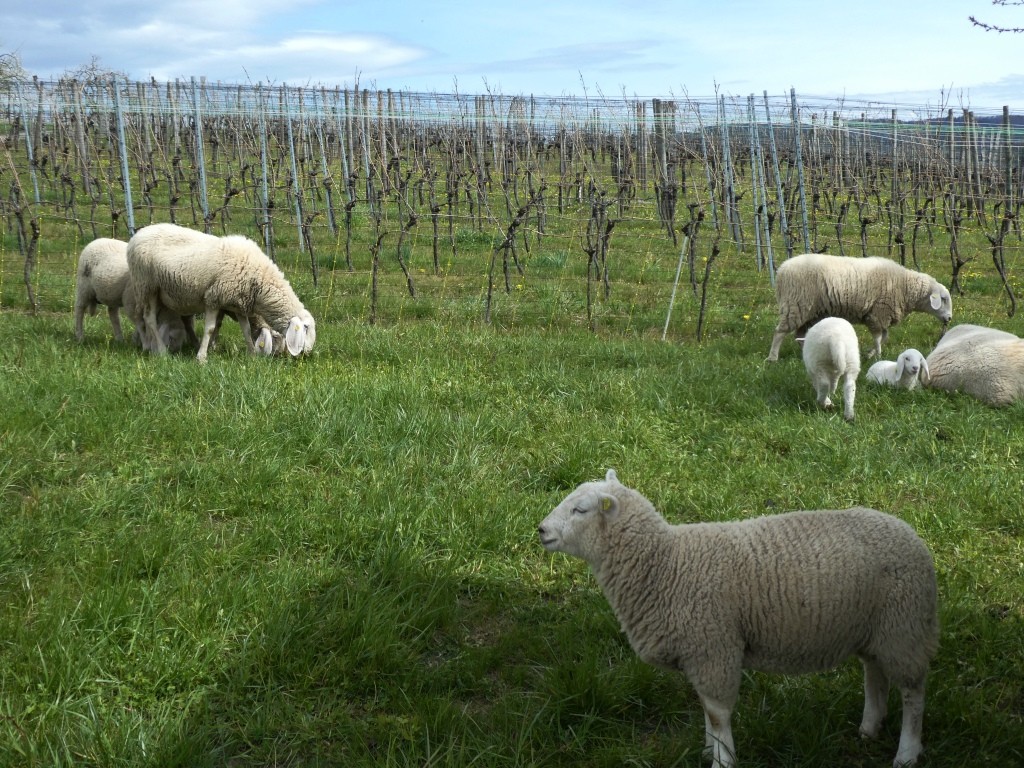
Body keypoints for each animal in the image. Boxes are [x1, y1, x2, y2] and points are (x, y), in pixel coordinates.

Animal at [125, 222, 313, 364]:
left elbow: (245, 330)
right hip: (146, 285)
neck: (259, 278)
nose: (307, 353)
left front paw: (252, 355)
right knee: (149, 319)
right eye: (306, 328)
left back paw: (152, 347)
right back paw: (161, 351)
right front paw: (202, 357)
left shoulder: (238, 303)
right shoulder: (214, 298)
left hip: (156, 291)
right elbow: (210, 329)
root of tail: (136, 236)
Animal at [540, 468, 937, 768]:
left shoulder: (713, 647)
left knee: (913, 694)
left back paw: (906, 753)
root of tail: (913, 536)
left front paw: (723, 759)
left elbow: (717, 713)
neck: (666, 563)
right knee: (875, 674)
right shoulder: (701, 652)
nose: (541, 530)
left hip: (905, 627)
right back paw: (869, 728)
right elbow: (706, 708)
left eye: (580, 510)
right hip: (877, 629)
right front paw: (708, 749)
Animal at [770, 252, 950, 360]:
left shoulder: (882, 316)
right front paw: (877, 355)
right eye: (943, 299)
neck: (905, 286)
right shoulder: (878, 313)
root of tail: (781, 271)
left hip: (807, 311)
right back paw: (772, 357)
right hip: (796, 304)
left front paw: (871, 353)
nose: (949, 318)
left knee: (799, 334)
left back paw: (804, 354)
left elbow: (884, 337)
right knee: (779, 332)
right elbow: (878, 338)